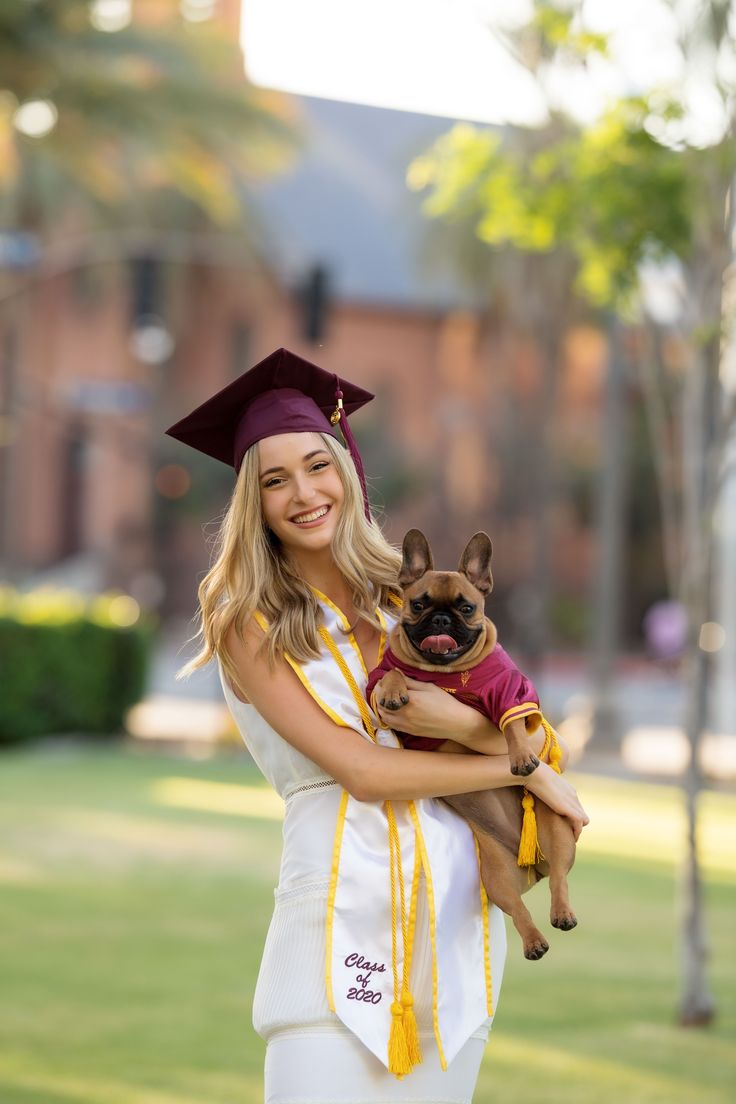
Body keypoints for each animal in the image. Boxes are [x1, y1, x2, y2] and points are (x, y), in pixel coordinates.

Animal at [366, 529, 578, 962]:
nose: (441, 619)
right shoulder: (385, 674)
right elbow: (391, 673)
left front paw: (522, 756)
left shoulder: (510, 689)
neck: (443, 671)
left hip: (557, 830)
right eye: (418, 603)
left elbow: (512, 725)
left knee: (560, 880)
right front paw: (394, 690)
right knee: (518, 908)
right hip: (495, 874)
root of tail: (532, 863)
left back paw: (562, 913)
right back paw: (534, 942)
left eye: (466, 607)